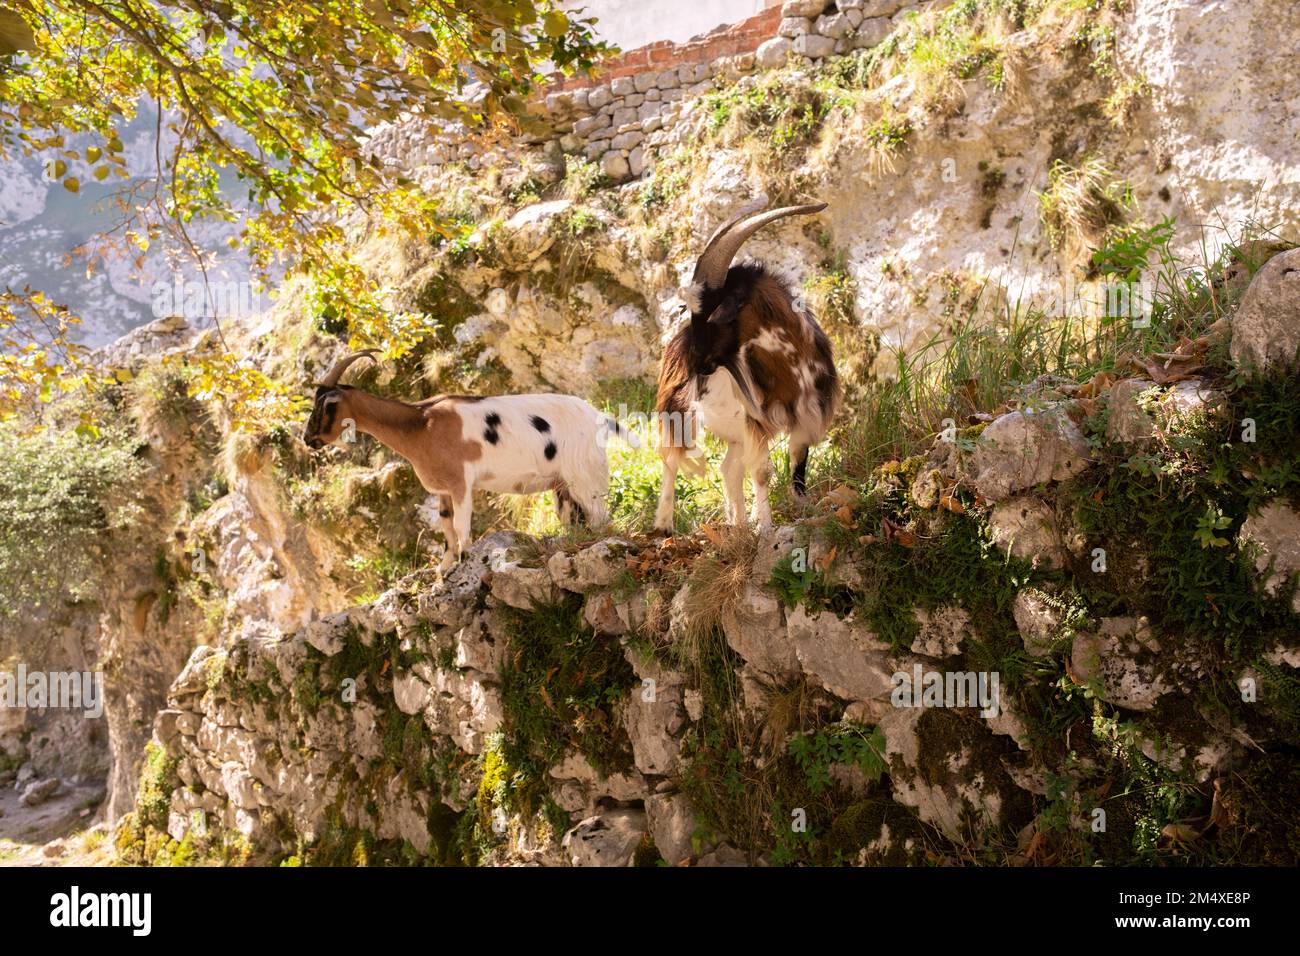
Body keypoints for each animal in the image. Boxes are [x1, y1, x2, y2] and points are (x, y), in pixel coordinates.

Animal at [303, 351, 635, 572]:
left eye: (324, 406)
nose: (308, 439)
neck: (421, 424)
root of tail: (599, 416)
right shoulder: (443, 490)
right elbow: (447, 528)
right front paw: (444, 569)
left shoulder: (461, 483)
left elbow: (461, 527)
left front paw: (464, 564)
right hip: (563, 484)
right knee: (576, 519)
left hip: (585, 474)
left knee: (601, 516)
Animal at [653, 201, 841, 535]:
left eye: (712, 313)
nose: (695, 362)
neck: (790, 368)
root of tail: (674, 341)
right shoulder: (755, 422)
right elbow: (763, 471)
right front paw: (766, 527)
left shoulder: (804, 418)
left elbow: (798, 460)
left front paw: (800, 508)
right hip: (677, 412)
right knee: (670, 460)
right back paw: (664, 525)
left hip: (735, 431)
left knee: (729, 468)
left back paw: (737, 523)